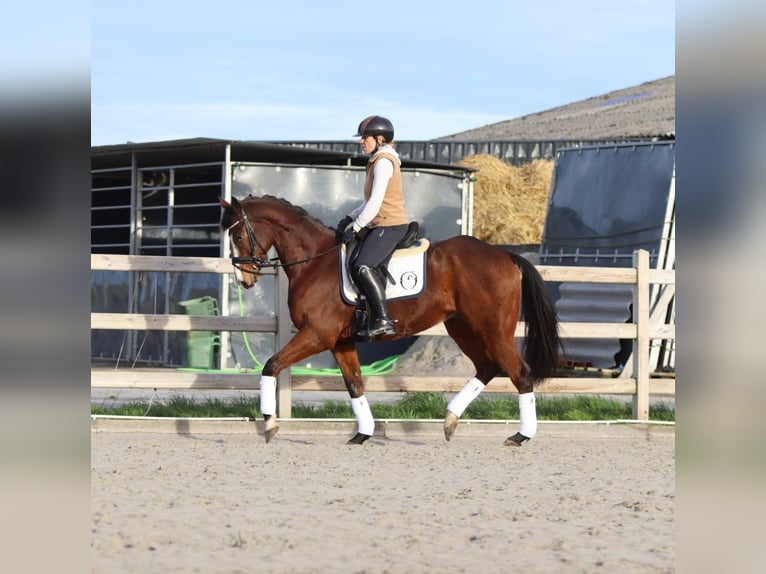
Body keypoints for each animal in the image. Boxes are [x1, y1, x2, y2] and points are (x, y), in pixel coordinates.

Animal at [219, 194, 560, 446]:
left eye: (237, 234)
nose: (243, 279)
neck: (315, 261)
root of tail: (504, 255)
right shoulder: (340, 341)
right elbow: (355, 384)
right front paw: (362, 433)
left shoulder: (317, 334)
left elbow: (271, 365)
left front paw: (269, 424)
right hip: (462, 328)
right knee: (488, 367)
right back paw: (450, 421)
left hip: (493, 331)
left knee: (519, 373)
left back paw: (520, 435)